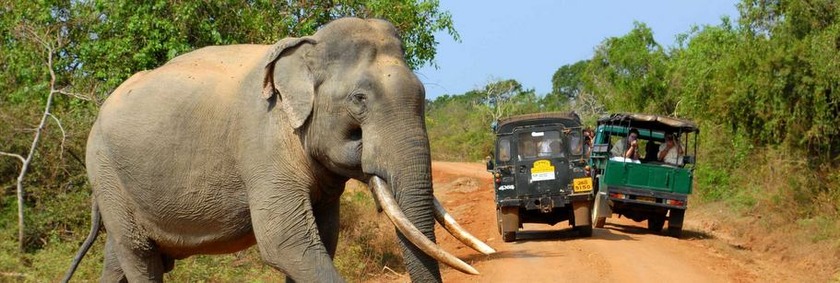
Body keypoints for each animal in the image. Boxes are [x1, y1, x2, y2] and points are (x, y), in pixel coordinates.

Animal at [62, 18, 496, 283]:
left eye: (422, 95)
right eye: (359, 100)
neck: (305, 49)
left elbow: (323, 237)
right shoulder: (263, 144)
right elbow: (288, 244)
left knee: (123, 257)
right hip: (105, 171)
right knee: (140, 257)